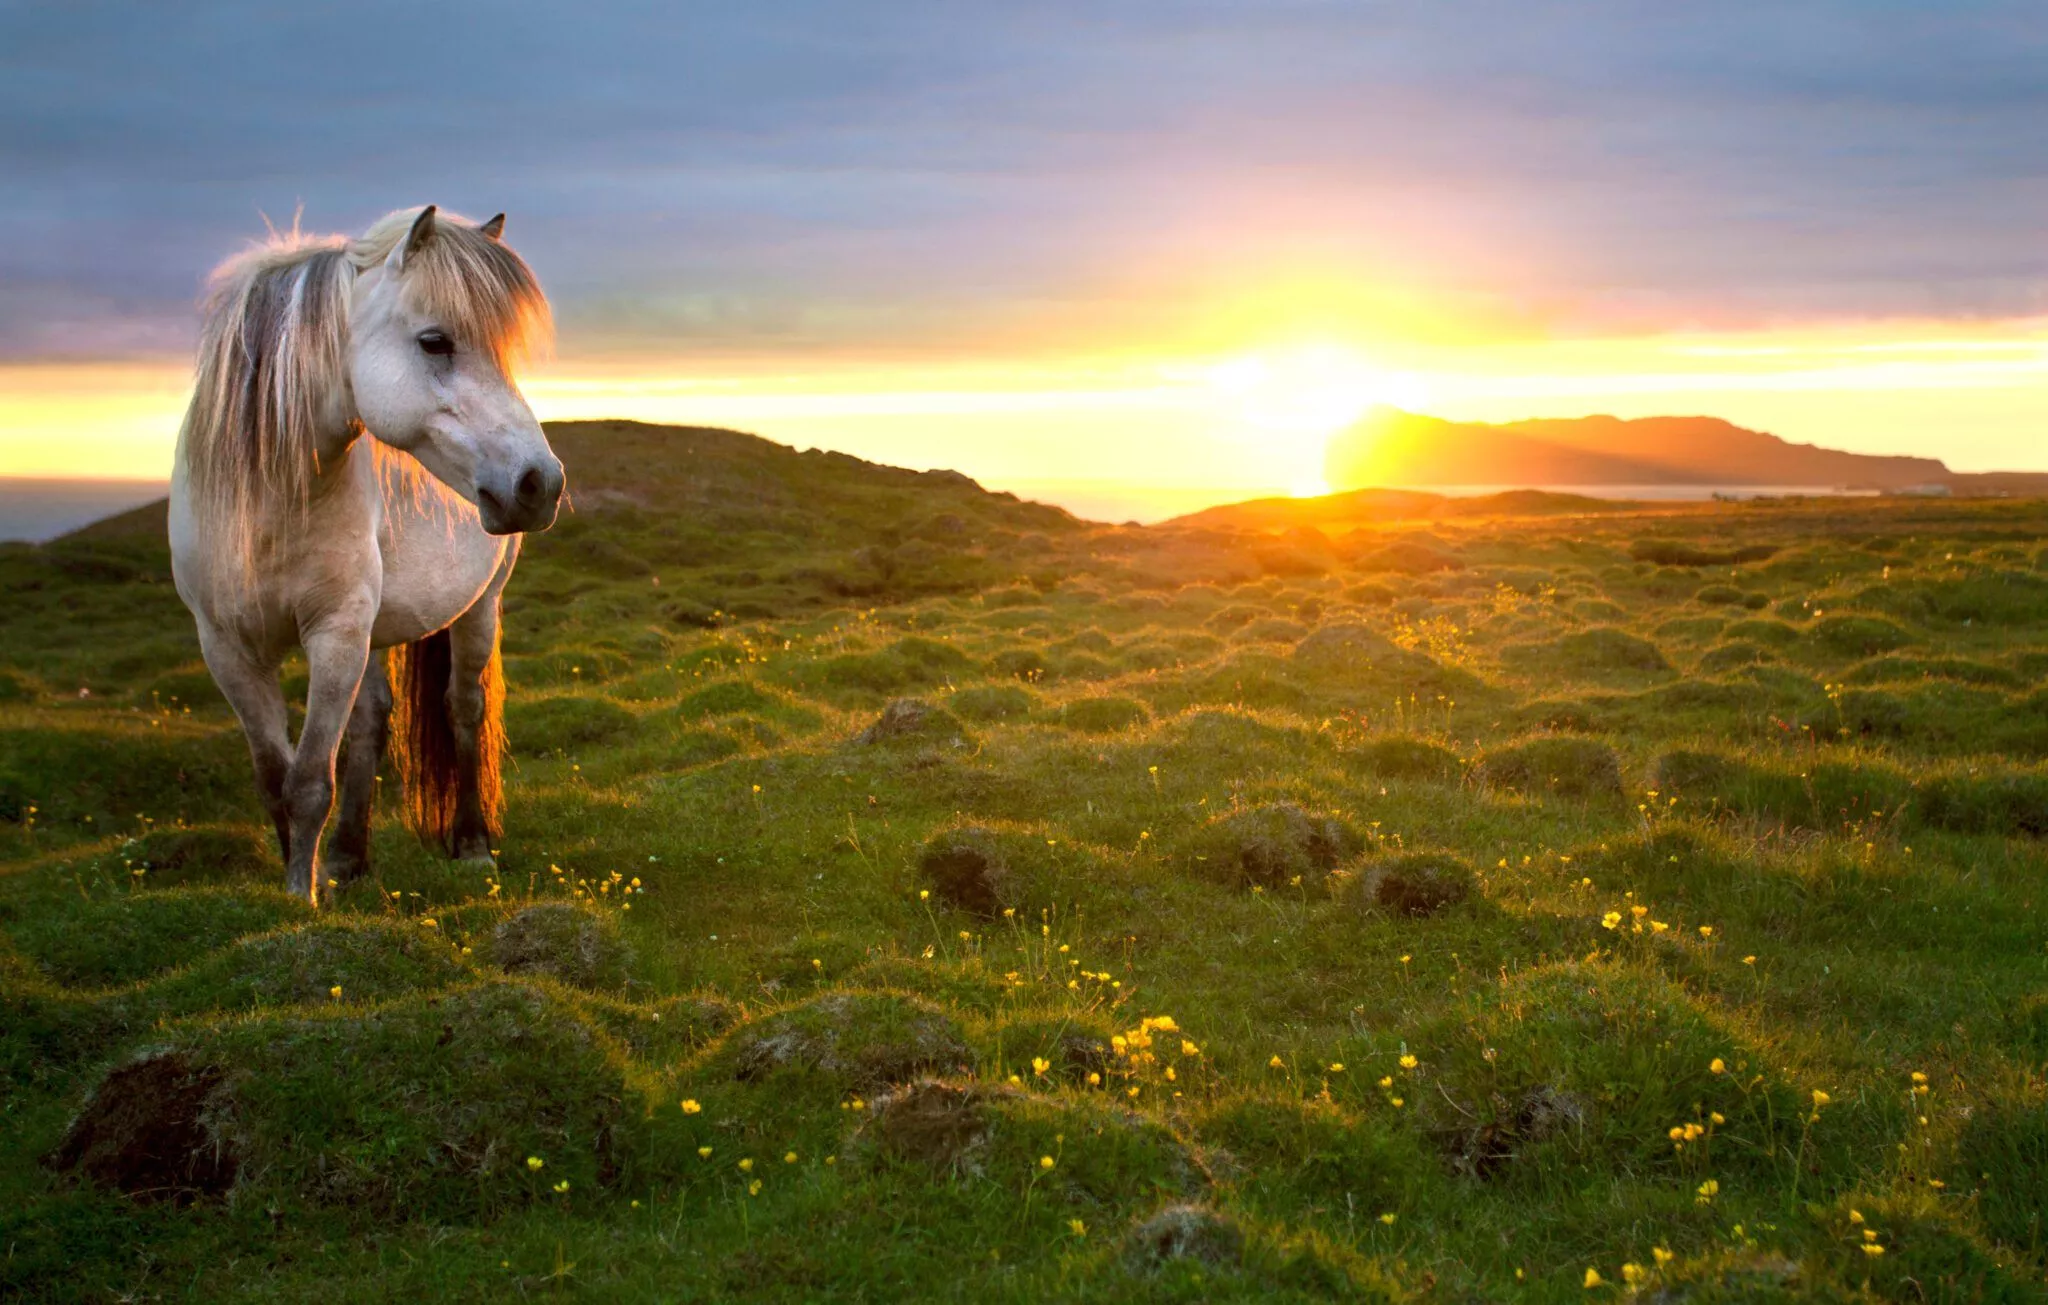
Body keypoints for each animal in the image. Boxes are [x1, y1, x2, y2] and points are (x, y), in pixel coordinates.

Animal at [169, 205, 563, 906]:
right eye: (435, 341)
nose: (540, 483)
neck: (269, 506)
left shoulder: (337, 632)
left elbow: (307, 782)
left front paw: (301, 903)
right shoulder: (226, 647)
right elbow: (273, 778)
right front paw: (299, 880)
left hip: (478, 606)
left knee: (462, 708)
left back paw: (471, 844)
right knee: (372, 722)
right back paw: (349, 857)